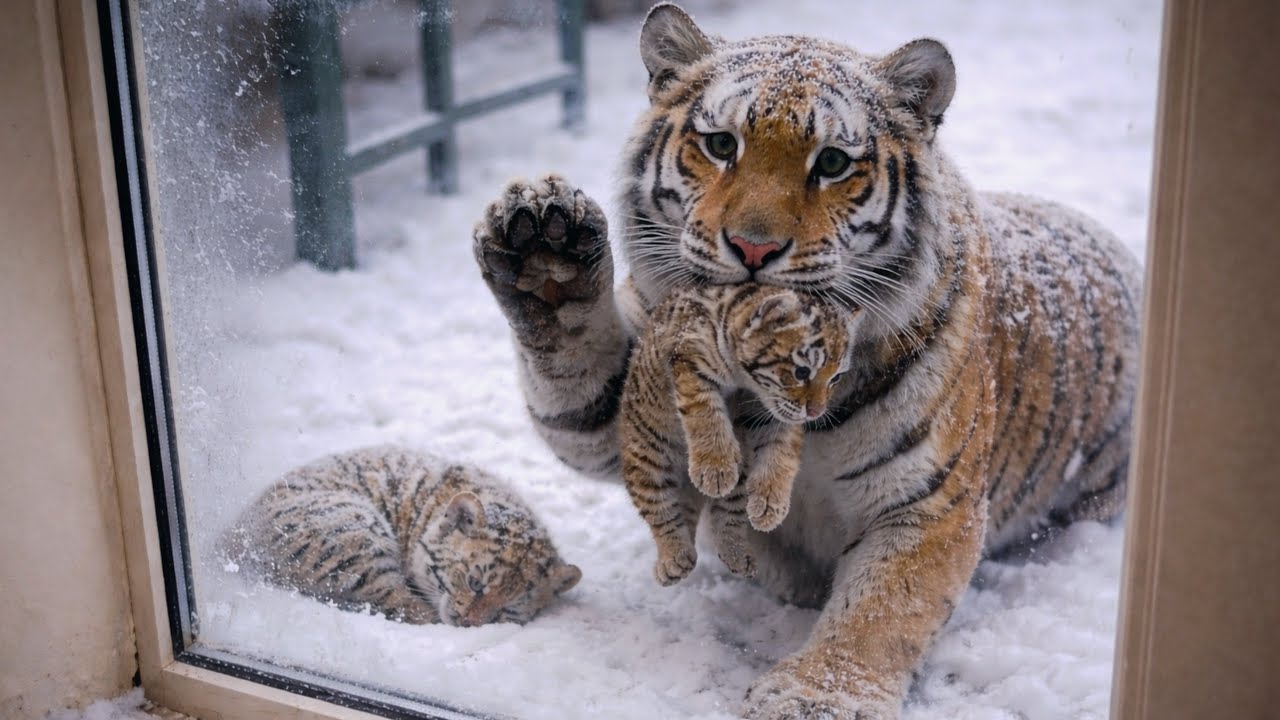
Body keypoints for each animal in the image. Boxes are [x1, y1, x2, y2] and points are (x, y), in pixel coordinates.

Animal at [620, 283, 856, 586]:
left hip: (739, 472)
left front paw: (770, 506)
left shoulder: (771, 414)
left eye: (835, 378)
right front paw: (715, 467)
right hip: (647, 458)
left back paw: (737, 554)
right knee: (661, 511)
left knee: (725, 513)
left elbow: (781, 452)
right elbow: (704, 411)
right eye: (802, 371)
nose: (815, 412)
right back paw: (674, 558)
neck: (745, 381)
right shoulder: (688, 357)